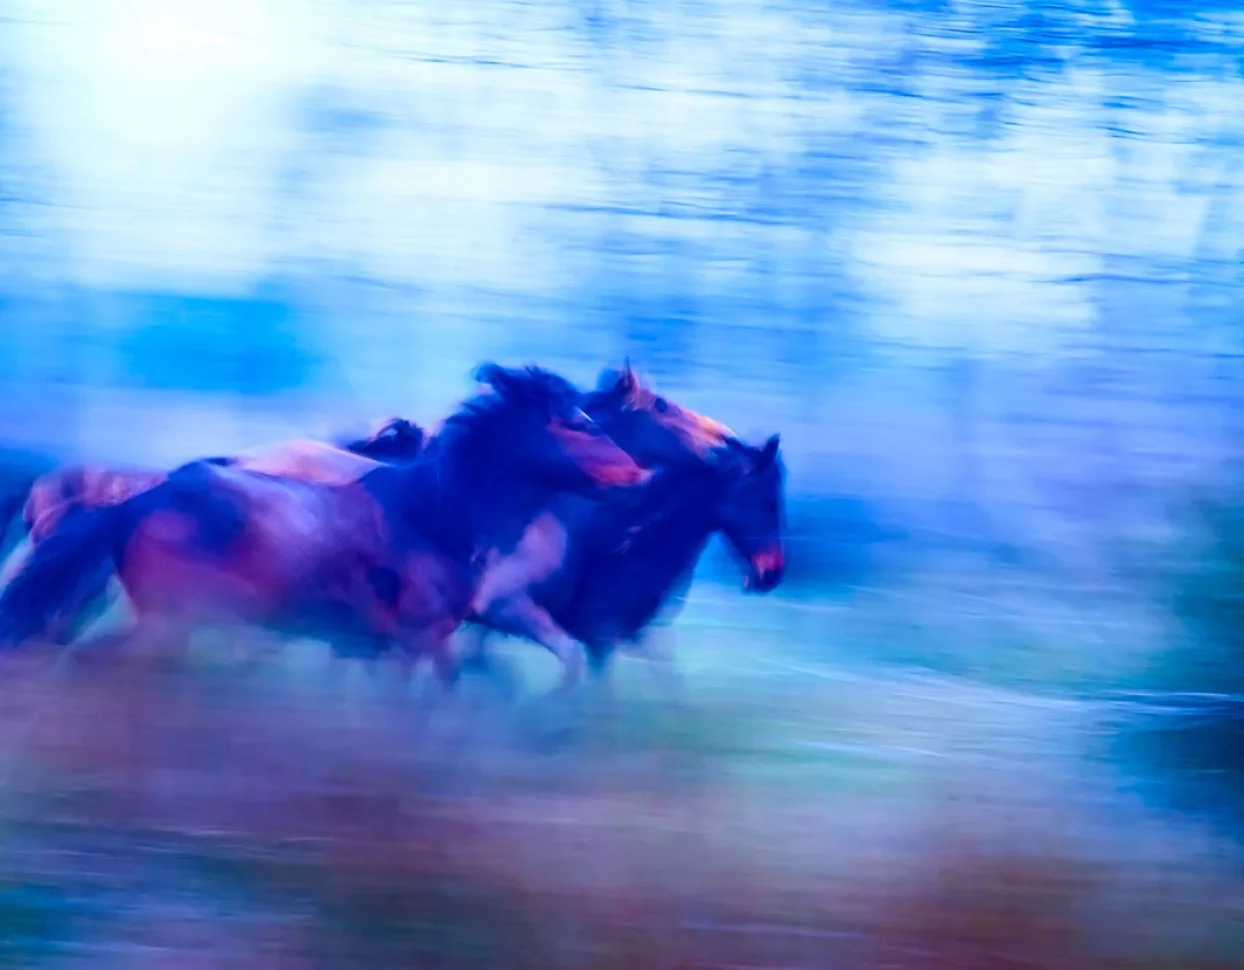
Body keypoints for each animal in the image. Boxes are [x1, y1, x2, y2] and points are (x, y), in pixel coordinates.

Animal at [0, 365, 648, 693]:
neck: (438, 516)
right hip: (172, 619)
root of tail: (137, 501)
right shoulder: (416, 634)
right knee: (90, 662)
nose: (638, 476)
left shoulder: (413, 639)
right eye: (574, 424)